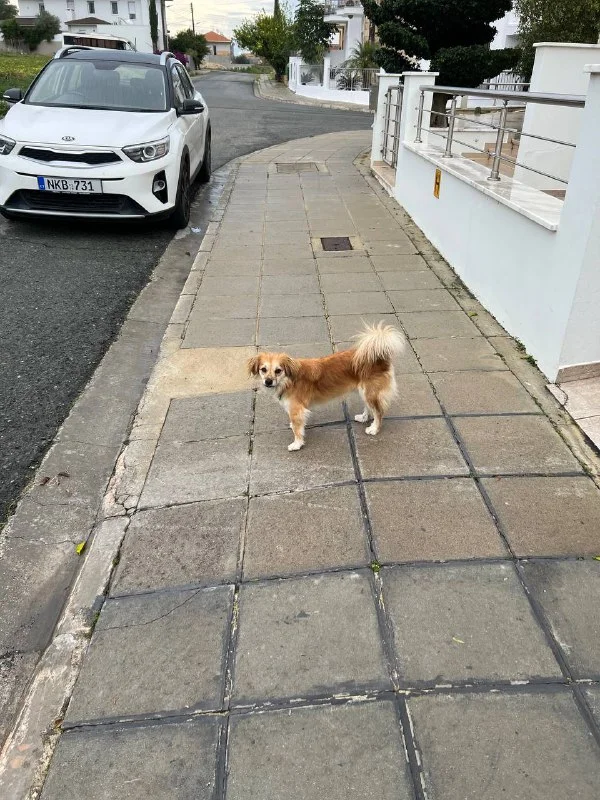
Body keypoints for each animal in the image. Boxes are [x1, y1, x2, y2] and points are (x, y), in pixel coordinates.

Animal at [248, 322, 405, 451]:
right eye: (263, 369)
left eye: (278, 370)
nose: (268, 381)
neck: (289, 380)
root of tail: (379, 356)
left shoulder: (296, 409)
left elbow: (297, 430)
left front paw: (297, 444)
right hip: (365, 392)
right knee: (370, 407)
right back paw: (364, 417)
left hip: (370, 391)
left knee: (378, 412)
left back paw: (374, 429)